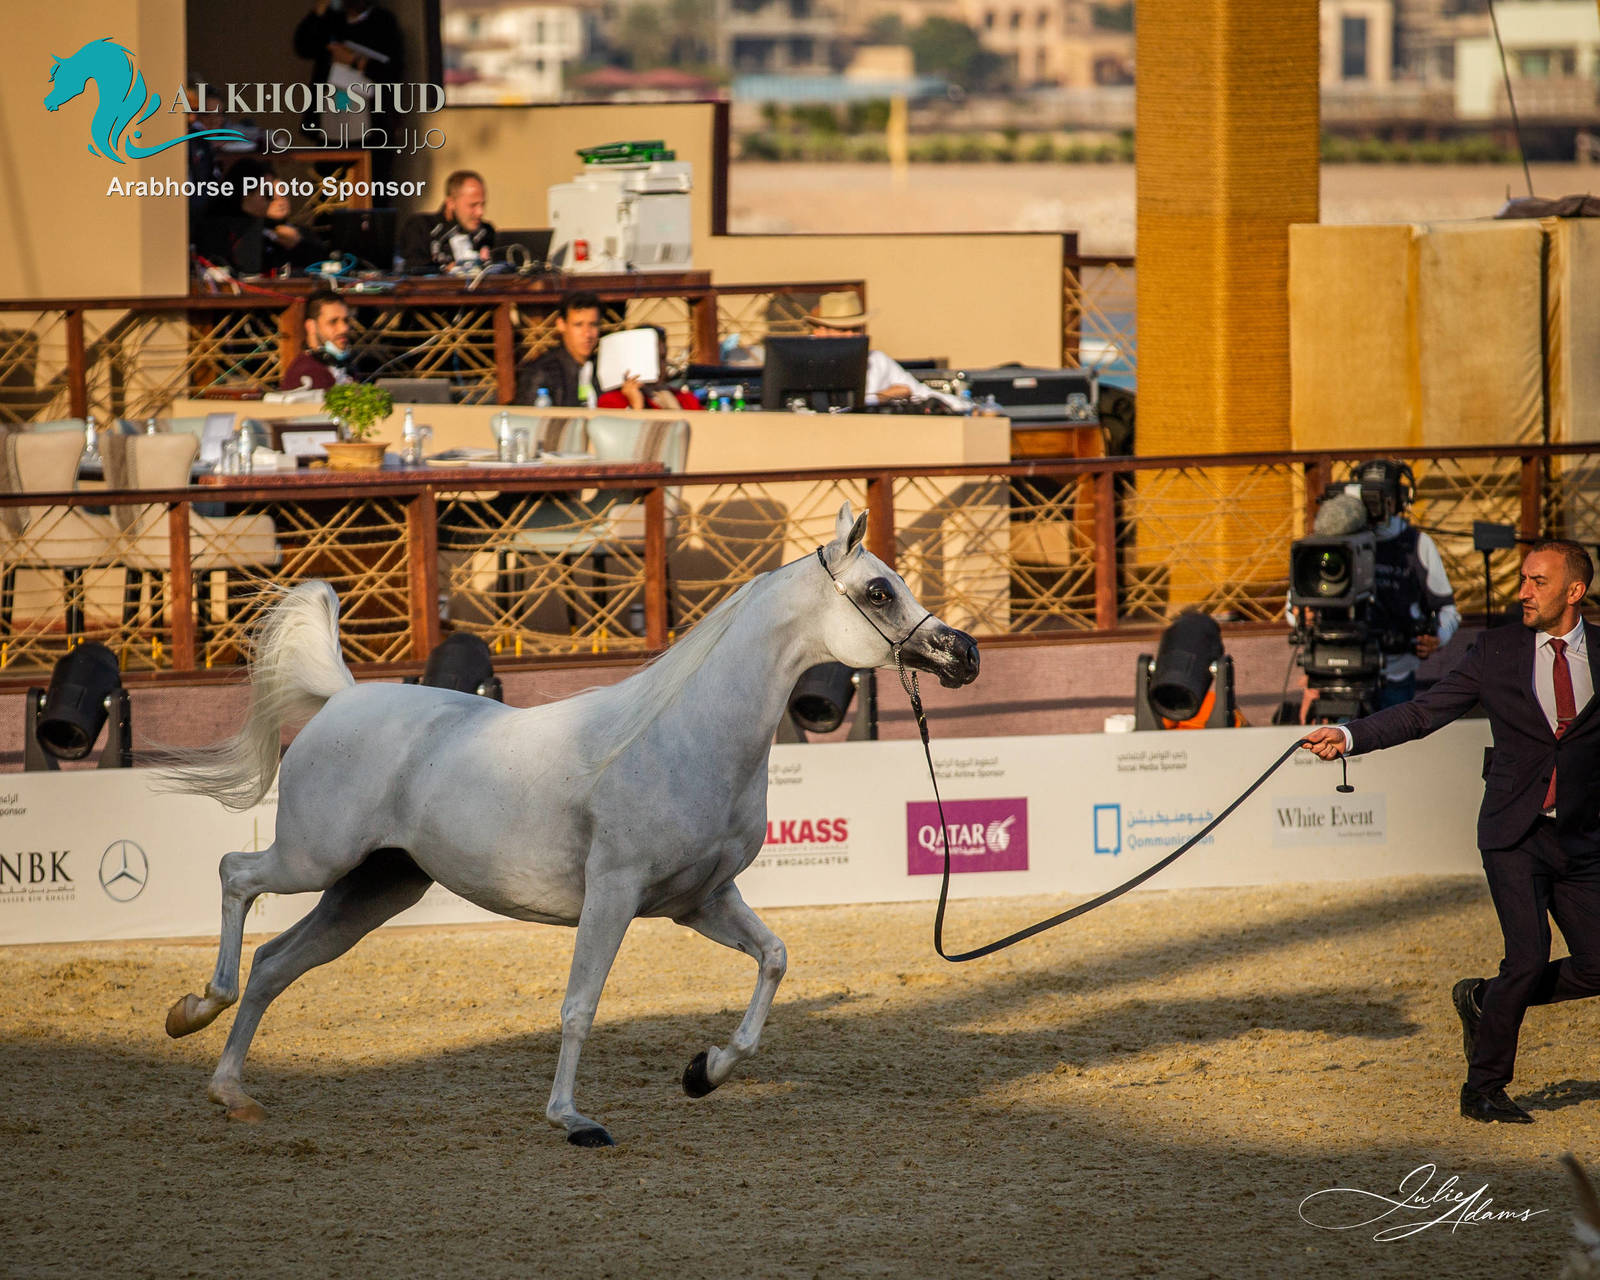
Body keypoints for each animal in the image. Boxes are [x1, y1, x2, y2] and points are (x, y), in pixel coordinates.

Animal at [159, 502, 980, 1146]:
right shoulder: (613, 894)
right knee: (237, 879)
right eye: (879, 589)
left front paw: (704, 1072)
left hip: (373, 890)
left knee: (275, 963)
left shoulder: (700, 901)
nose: (963, 655)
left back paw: (231, 1091)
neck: (685, 736)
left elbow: (774, 959)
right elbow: (581, 1005)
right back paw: (195, 1008)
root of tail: (341, 697)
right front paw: (572, 1119)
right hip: (315, 858)